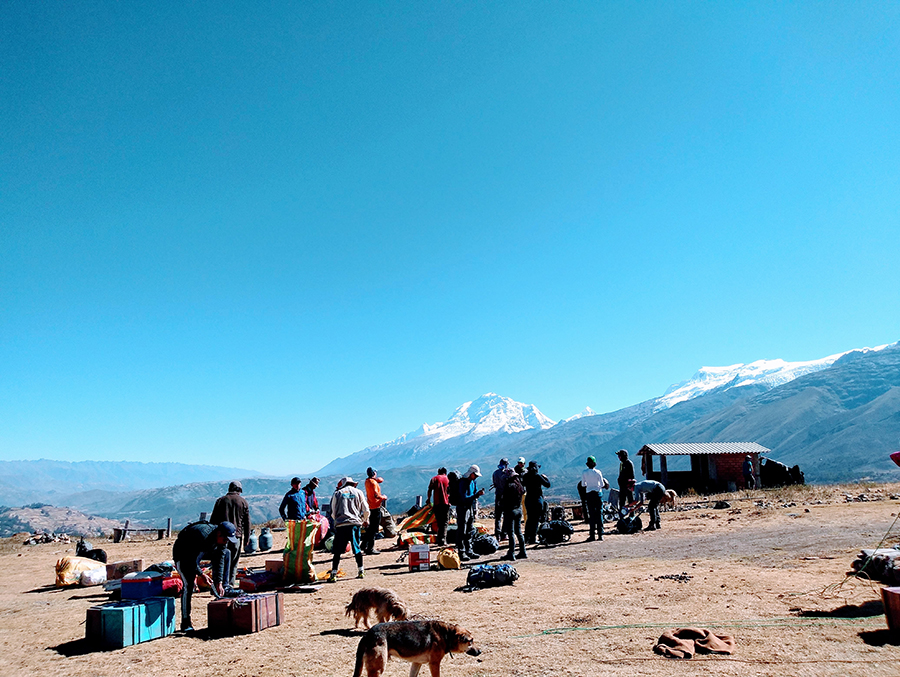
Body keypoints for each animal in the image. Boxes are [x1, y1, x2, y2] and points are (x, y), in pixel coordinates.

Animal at [350, 616, 478, 676]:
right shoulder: (434, 664)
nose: (480, 651)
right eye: (471, 641)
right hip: (378, 668)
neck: (447, 635)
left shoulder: (416, 663)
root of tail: (367, 635)